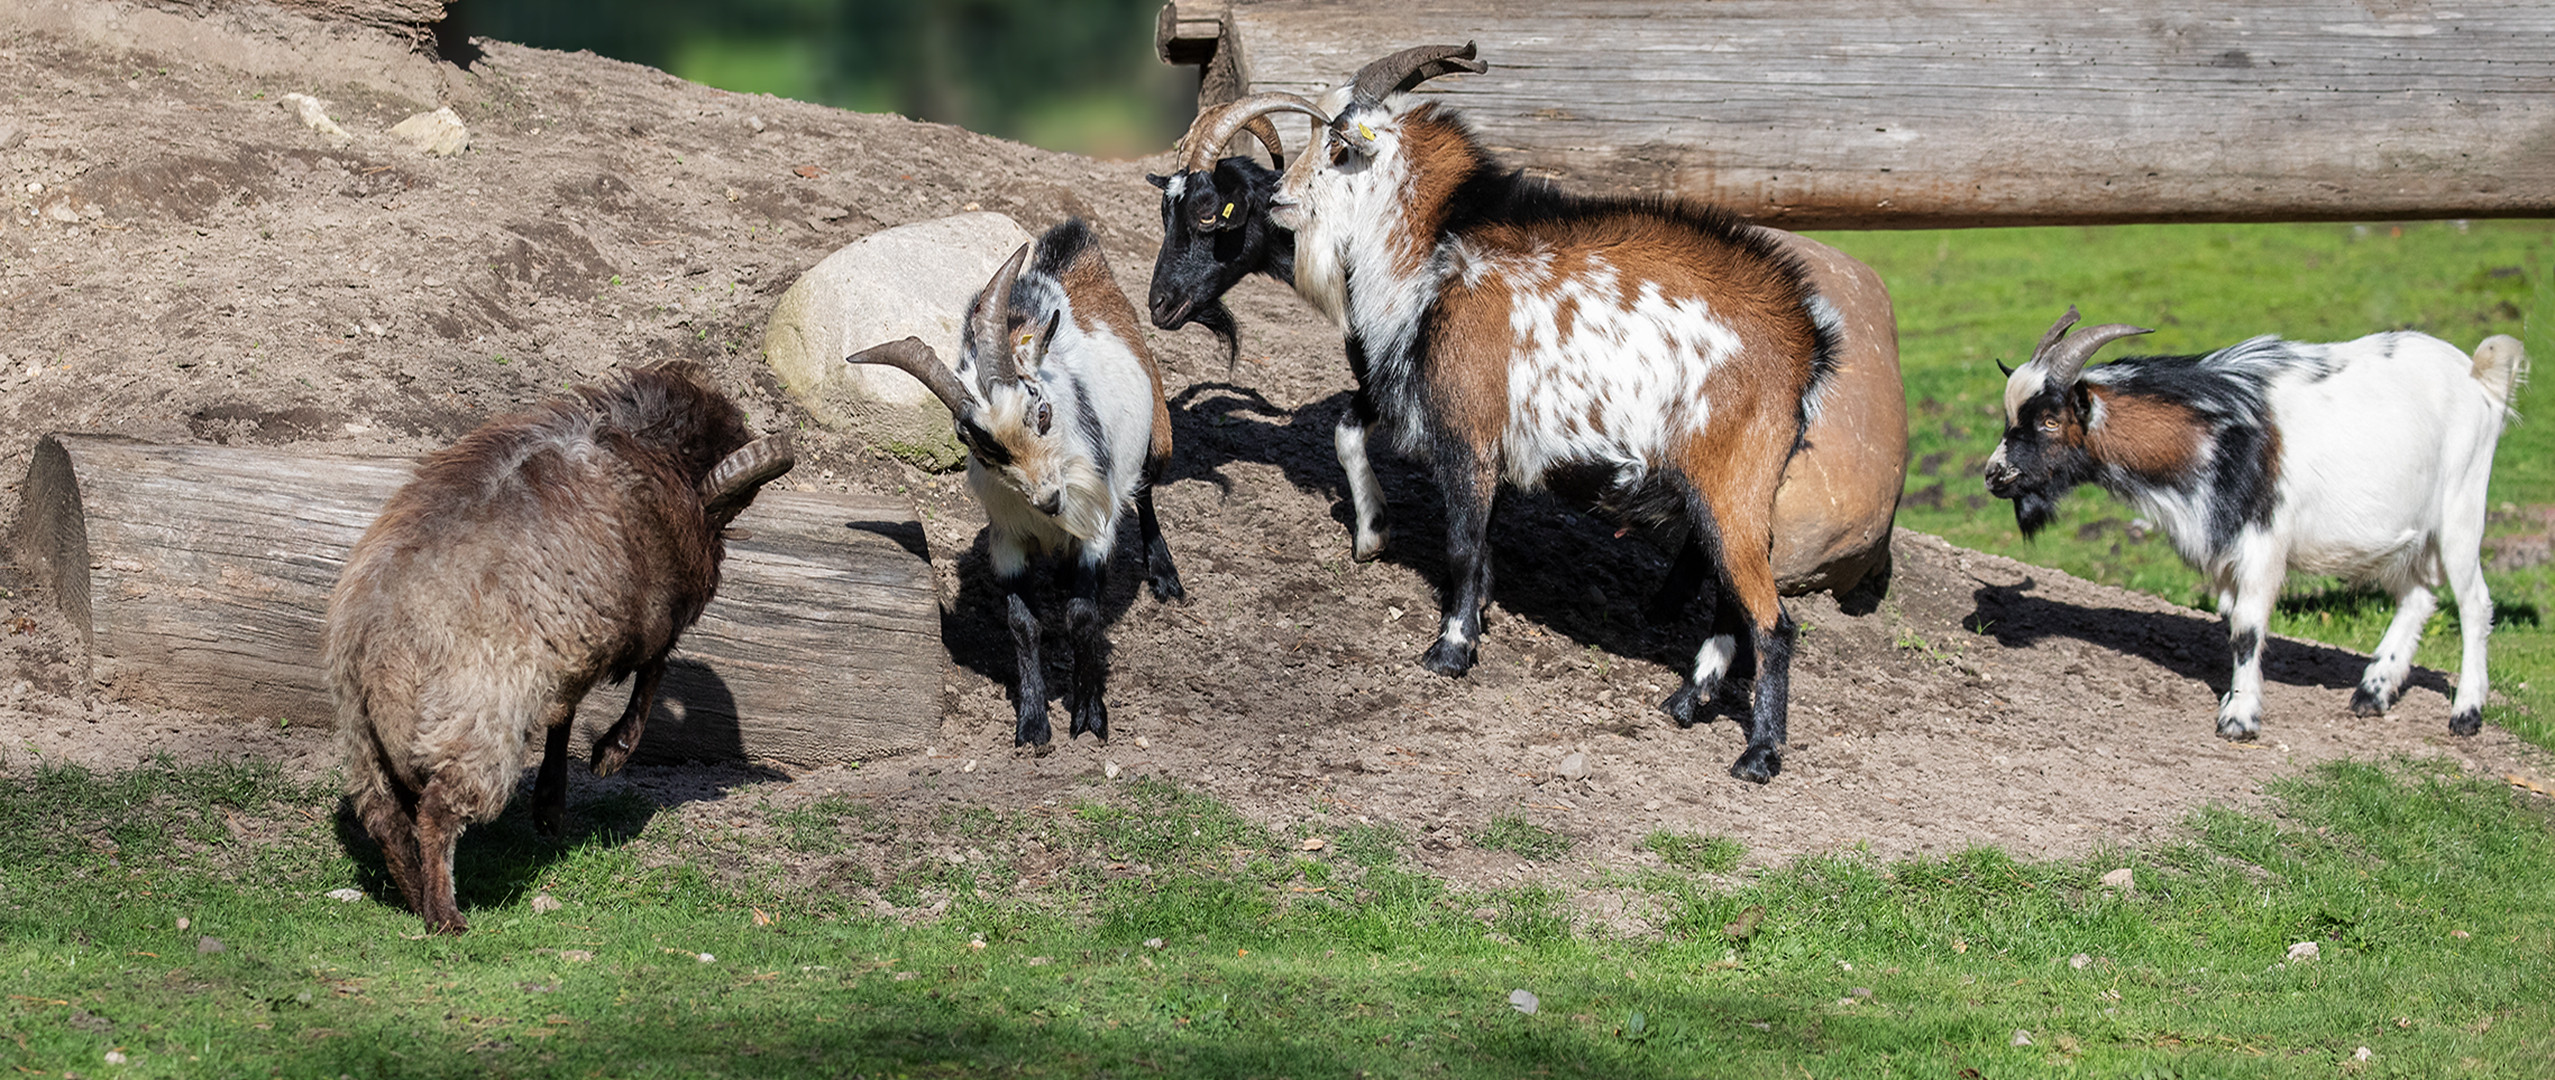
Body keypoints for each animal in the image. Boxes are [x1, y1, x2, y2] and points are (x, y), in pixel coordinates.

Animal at [324, 365, 792, 939]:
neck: (643, 442)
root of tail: (378, 643)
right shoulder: (648, 614)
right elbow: (653, 669)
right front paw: (611, 753)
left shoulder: (569, 644)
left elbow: (564, 713)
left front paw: (552, 806)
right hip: (474, 727)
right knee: (437, 811)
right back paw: (446, 917)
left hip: (361, 738)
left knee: (386, 820)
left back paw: (415, 898)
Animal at [848, 215, 1185, 750]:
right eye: (982, 448)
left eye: (1041, 411)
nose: (1049, 499)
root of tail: (1076, 253)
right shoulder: (1007, 537)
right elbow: (1022, 623)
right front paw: (1032, 722)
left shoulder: (1096, 522)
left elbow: (1083, 616)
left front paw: (1089, 715)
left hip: (1157, 434)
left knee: (1147, 493)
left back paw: (1164, 574)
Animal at [1211, 44, 1839, 786]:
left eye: (1339, 149)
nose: (1279, 198)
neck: (1438, 246)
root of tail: (1807, 343)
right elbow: (1471, 534)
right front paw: (1447, 596)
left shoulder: (1468, 431)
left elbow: (1461, 543)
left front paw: (1450, 650)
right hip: (1717, 496)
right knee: (1729, 601)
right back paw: (1686, 702)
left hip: (1733, 485)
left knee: (1772, 622)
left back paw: (1758, 755)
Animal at [1982, 308, 2524, 740]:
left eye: (2051, 420)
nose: (1994, 475)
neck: (2218, 434)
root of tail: (2478, 376)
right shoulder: (2224, 551)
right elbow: (2231, 620)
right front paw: (2234, 698)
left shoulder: (2264, 541)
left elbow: (2245, 628)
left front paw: (2239, 719)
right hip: (2403, 533)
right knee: (2418, 594)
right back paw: (2373, 692)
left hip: (2461, 507)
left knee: (2474, 603)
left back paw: (2466, 714)